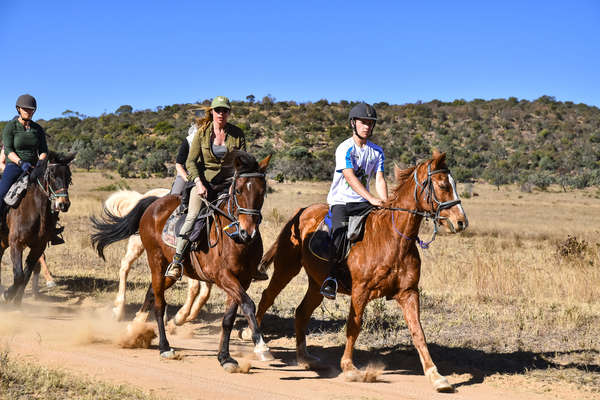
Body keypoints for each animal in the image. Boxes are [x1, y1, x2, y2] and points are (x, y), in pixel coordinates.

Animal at [0, 152, 75, 304]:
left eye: (69, 177)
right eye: (52, 175)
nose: (63, 204)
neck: (36, 209)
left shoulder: (38, 246)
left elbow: (26, 276)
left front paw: (16, 302)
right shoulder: (16, 244)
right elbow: (19, 276)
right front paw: (7, 295)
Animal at [103, 187, 213, 322]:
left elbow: (205, 292)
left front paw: (186, 316)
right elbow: (195, 288)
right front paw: (180, 317)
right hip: (138, 244)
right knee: (125, 266)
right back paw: (119, 309)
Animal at [253, 152, 468, 392]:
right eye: (442, 185)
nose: (461, 222)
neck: (393, 239)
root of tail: (301, 212)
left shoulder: (409, 293)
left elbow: (418, 333)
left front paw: (436, 376)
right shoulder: (360, 292)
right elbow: (353, 327)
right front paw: (349, 368)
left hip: (317, 284)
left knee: (301, 312)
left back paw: (305, 358)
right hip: (286, 268)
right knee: (267, 297)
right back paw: (258, 345)